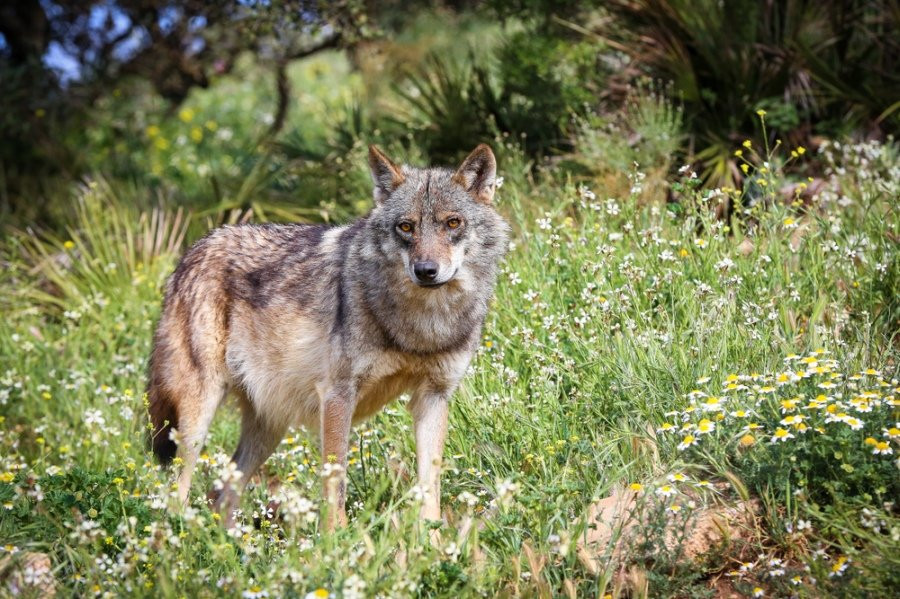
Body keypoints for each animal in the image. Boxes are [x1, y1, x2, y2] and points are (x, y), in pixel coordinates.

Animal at [148, 143, 506, 528]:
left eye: (453, 222)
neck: (422, 327)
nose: (426, 270)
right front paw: (337, 540)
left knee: (220, 495)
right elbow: (336, 483)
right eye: (406, 227)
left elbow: (430, 489)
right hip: (198, 417)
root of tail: (192, 249)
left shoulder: (433, 397)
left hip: (269, 428)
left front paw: (432, 540)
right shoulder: (337, 395)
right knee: (177, 492)